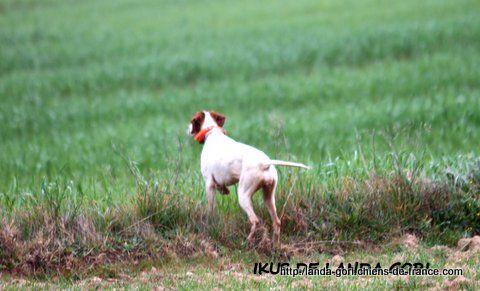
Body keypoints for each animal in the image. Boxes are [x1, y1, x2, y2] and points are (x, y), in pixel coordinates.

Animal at [186, 111, 310, 246]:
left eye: (192, 121)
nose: (188, 128)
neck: (212, 132)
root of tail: (264, 163)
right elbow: (221, 188)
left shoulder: (209, 184)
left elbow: (210, 209)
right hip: (268, 197)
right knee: (276, 222)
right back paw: (274, 245)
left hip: (243, 195)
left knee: (255, 220)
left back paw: (247, 241)